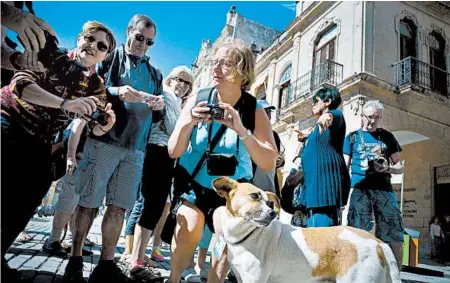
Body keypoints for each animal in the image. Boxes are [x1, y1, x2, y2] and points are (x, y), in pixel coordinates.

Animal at [213, 178, 402, 283]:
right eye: (254, 196)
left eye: (270, 203)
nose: (273, 214)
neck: (247, 235)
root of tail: (378, 242)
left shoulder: (253, 280)